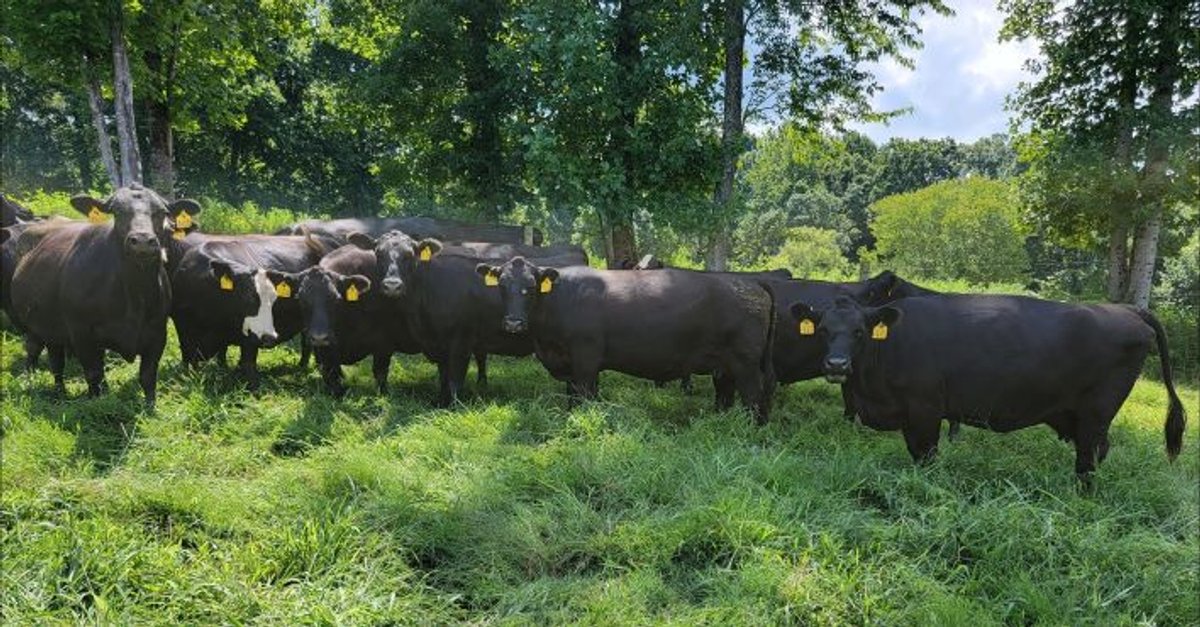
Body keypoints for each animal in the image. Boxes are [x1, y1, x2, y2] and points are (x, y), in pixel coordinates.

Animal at [9, 185, 200, 408]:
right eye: (117, 212)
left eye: (161, 212)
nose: (142, 241)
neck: (134, 295)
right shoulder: (82, 334)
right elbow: (95, 375)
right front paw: (97, 401)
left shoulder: (157, 333)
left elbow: (147, 376)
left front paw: (150, 408)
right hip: (38, 327)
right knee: (43, 356)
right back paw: (52, 391)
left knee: (55, 358)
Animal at [169, 234, 332, 386]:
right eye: (248, 297)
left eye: (274, 300)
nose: (269, 337)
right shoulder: (183, 330)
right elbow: (192, 360)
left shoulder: (249, 340)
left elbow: (249, 365)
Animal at [477, 257, 777, 422]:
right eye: (502, 285)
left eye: (530, 287)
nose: (513, 323)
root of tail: (751, 283)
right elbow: (573, 397)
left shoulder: (585, 360)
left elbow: (585, 396)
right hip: (725, 365)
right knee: (726, 395)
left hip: (746, 364)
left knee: (753, 397)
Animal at [788, 294, 1186, 488]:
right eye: (823, 330)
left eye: (860, 331)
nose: (836, 365)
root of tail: (1127, 310)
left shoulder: (925, 409)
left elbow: (926, 456)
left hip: (1096, 413)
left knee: (1089, 459)